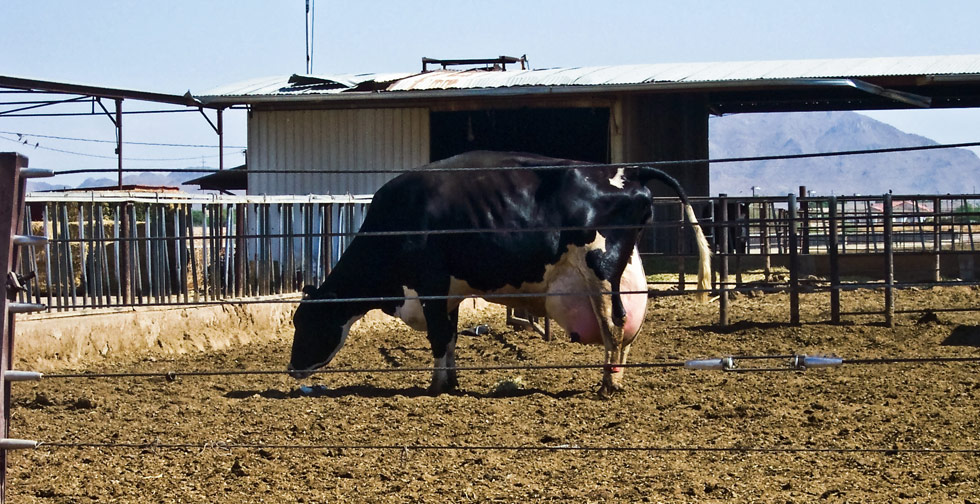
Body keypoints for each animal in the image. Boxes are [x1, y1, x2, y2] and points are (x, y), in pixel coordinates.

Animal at [288, 152, 708, 396]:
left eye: (307, 321)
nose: (292, 368)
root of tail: (626, 170)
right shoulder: (450, 293)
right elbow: (451, 337)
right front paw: (451, 381)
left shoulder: (430, 285)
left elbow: (438, 337)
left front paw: (435, 386)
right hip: (619, 276)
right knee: (627, 325)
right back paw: (615, 378)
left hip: (600, 270)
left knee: (615, 325)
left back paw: (607, 384)